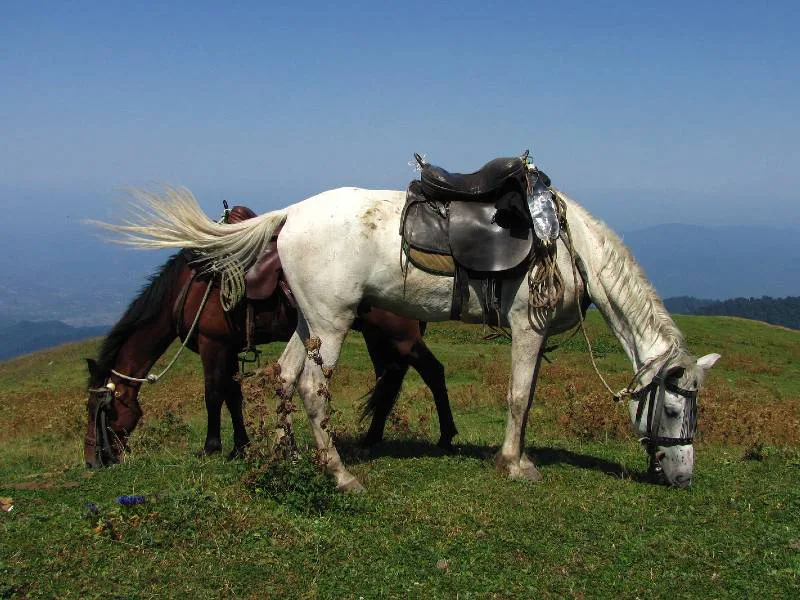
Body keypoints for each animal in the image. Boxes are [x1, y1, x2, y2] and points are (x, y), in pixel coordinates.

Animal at [84, 207, 457, 468]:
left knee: (431, 372)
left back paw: (445, 436)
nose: (93, 460)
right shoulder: (227, 347)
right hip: (378, 336)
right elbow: (233, 395)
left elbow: (213, 394)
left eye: (100, 411)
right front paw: (240, 446)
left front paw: (211, 447)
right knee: (390, 379)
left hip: (398, 336)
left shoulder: (212, 344)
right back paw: (372, 438)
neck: (189, 287)